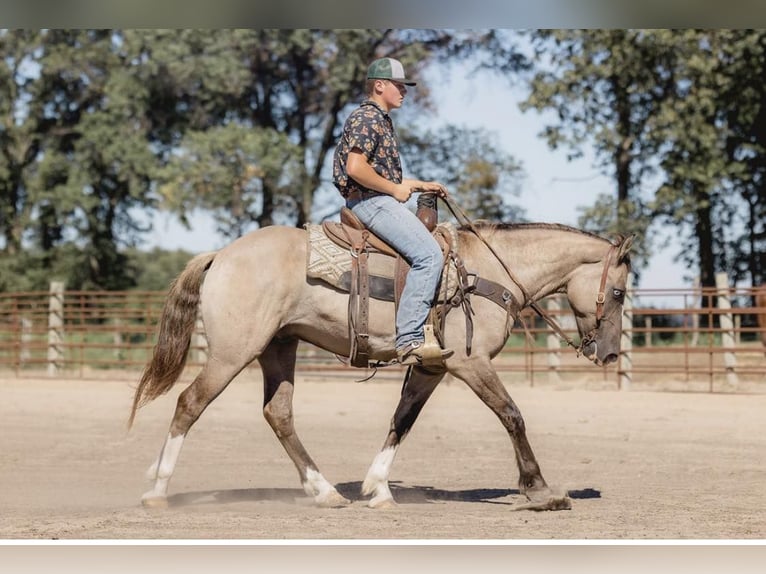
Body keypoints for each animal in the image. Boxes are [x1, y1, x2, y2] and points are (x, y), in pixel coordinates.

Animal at [130, 222, 636, 512]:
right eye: (618, 292)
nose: (610, 354)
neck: (486, 273)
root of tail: (222, 255)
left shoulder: (432, 368)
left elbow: (402, 420)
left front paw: (378, 488)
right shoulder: (471, 363)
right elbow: (512, 415)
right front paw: (540, 490)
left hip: (279, 346)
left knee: (279, 415)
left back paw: (325, 492)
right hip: (234, 351)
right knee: (190, 402)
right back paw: (157, 489)